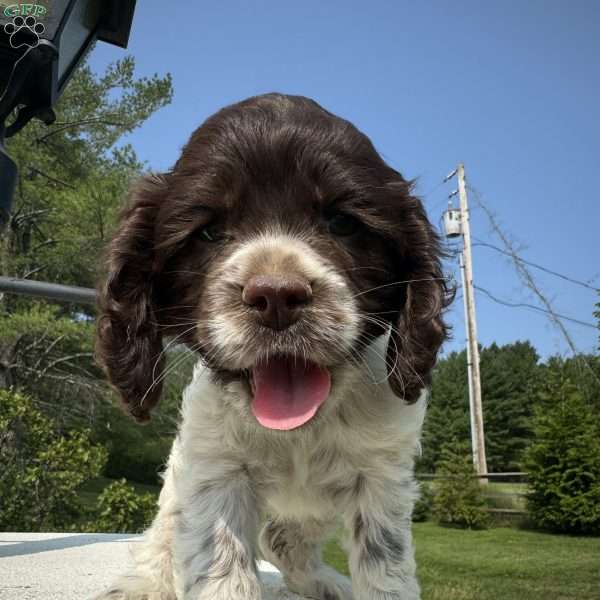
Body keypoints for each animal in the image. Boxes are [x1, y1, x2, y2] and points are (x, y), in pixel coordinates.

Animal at [94, 92, 450, 600]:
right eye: (208, 232)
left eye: (342, 223)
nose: (277, 297)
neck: (299, 428)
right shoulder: (214, 469)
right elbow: (219, 567)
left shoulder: (381, 476)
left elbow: (386, 570)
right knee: (166, 533)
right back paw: (143, 583)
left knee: (280, 536)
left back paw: (326, 583)